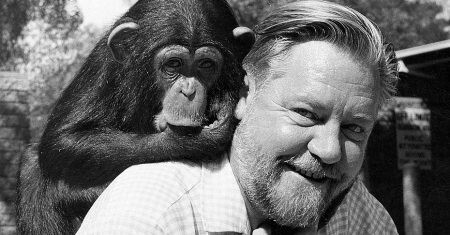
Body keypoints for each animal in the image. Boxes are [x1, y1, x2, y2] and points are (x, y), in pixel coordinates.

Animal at [15, 0, 255, 233]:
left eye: (206, 65)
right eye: (173, 64)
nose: (188, 90)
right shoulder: (104, 64)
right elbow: (62, 140)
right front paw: (190, 139)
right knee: (32, 166)